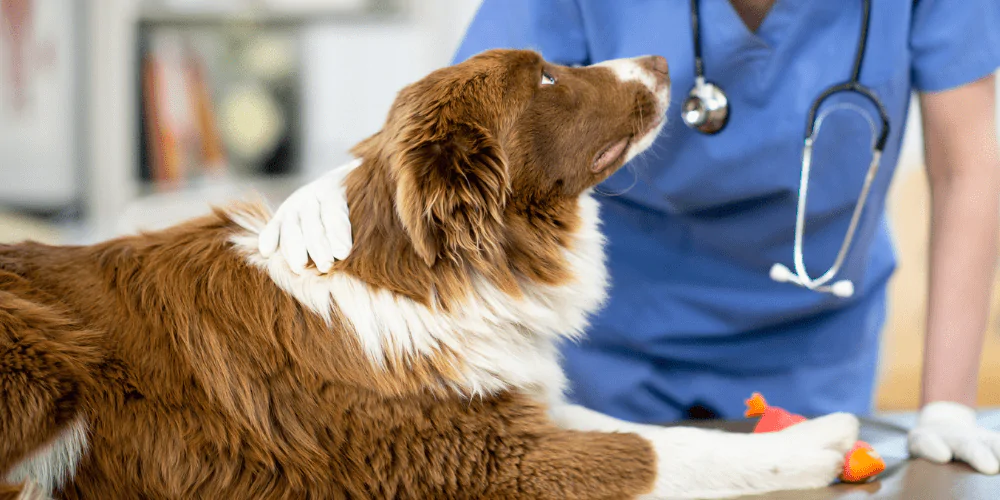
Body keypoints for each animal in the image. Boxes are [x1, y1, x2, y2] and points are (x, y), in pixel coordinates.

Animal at [0, 50, 860, 500]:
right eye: (546, 79)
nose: (658, 58)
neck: (433, 273)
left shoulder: (502, 404)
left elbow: (647, 429)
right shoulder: (472, 459)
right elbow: (654, 455)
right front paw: (817, 441)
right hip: (45, 359)